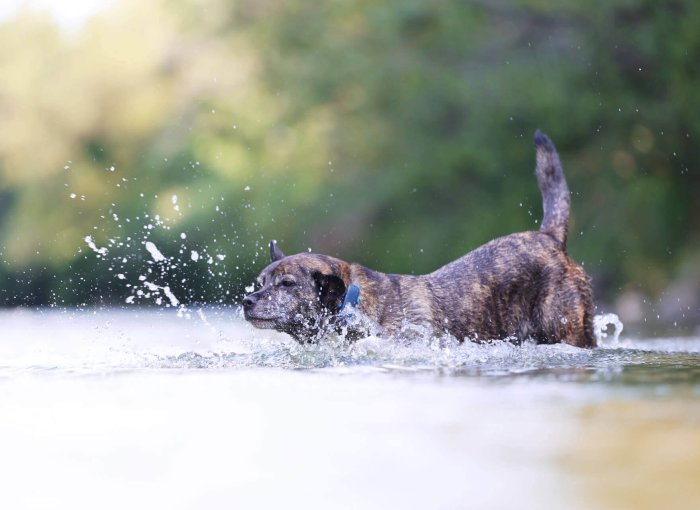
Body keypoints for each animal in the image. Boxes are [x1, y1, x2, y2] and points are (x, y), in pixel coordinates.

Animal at [243, 131, 592, 346]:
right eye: (259, 283)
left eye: (287, 284)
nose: (247, 302)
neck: (352, 306)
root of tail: (549, 237)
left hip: (570, 331)